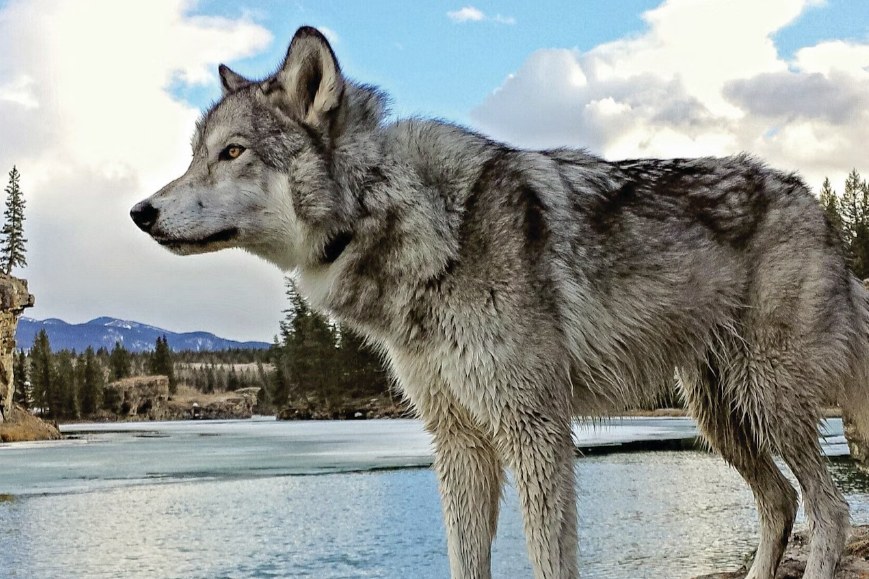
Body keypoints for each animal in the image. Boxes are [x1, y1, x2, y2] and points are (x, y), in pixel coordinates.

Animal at [129, 24, 868, 576]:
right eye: (196, 155)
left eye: (232, 153)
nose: (139, 212)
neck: (408, 218)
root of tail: (814, 203)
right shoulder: (458, 441)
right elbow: (465, 559)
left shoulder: (535, 429)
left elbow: (550, 560)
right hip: (718, 415)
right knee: (780, 501)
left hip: (766, 401)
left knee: (828, 508)